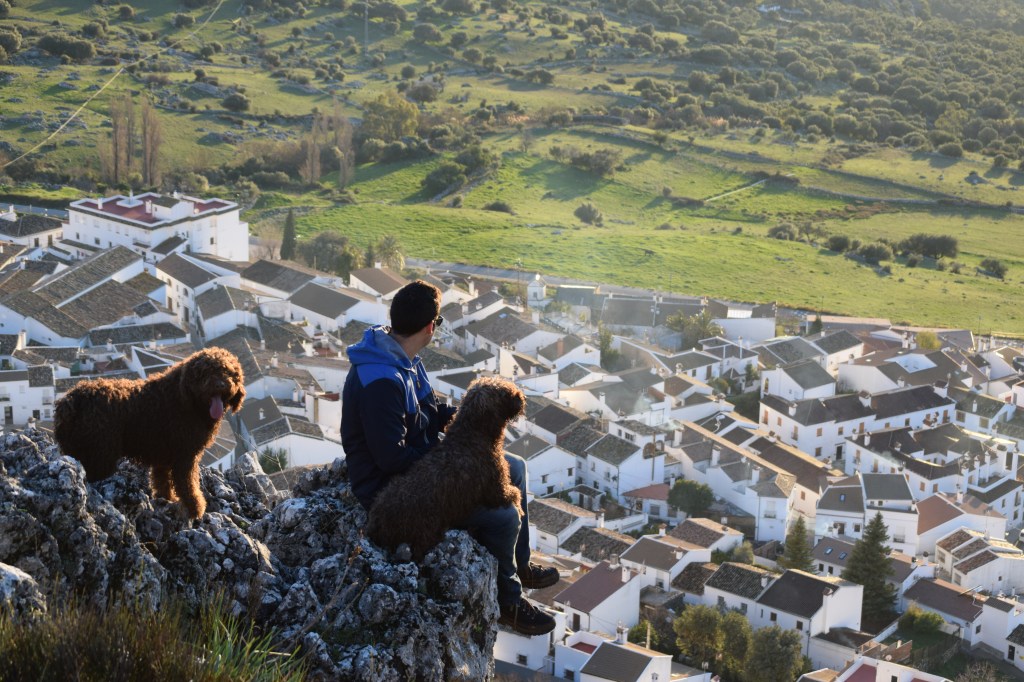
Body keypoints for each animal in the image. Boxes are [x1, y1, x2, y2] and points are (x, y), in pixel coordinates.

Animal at [53, 347, 246, 519]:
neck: (186, 399)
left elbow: (163, 481)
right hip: (99, 453)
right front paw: (195, 508)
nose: (221, 384)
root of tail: (71, 400)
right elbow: (188, 485)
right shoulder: (185, 457)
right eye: (205, 372)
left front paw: (167, 498)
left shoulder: (165, 456)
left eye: (229, 372)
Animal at [367, 376, 525, 561]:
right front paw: (519, 507)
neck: (470, 436)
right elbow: (514, 494)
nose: (521, 397)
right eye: (502, 392)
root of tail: (375, 522)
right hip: (426, 530)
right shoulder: (497, 489)